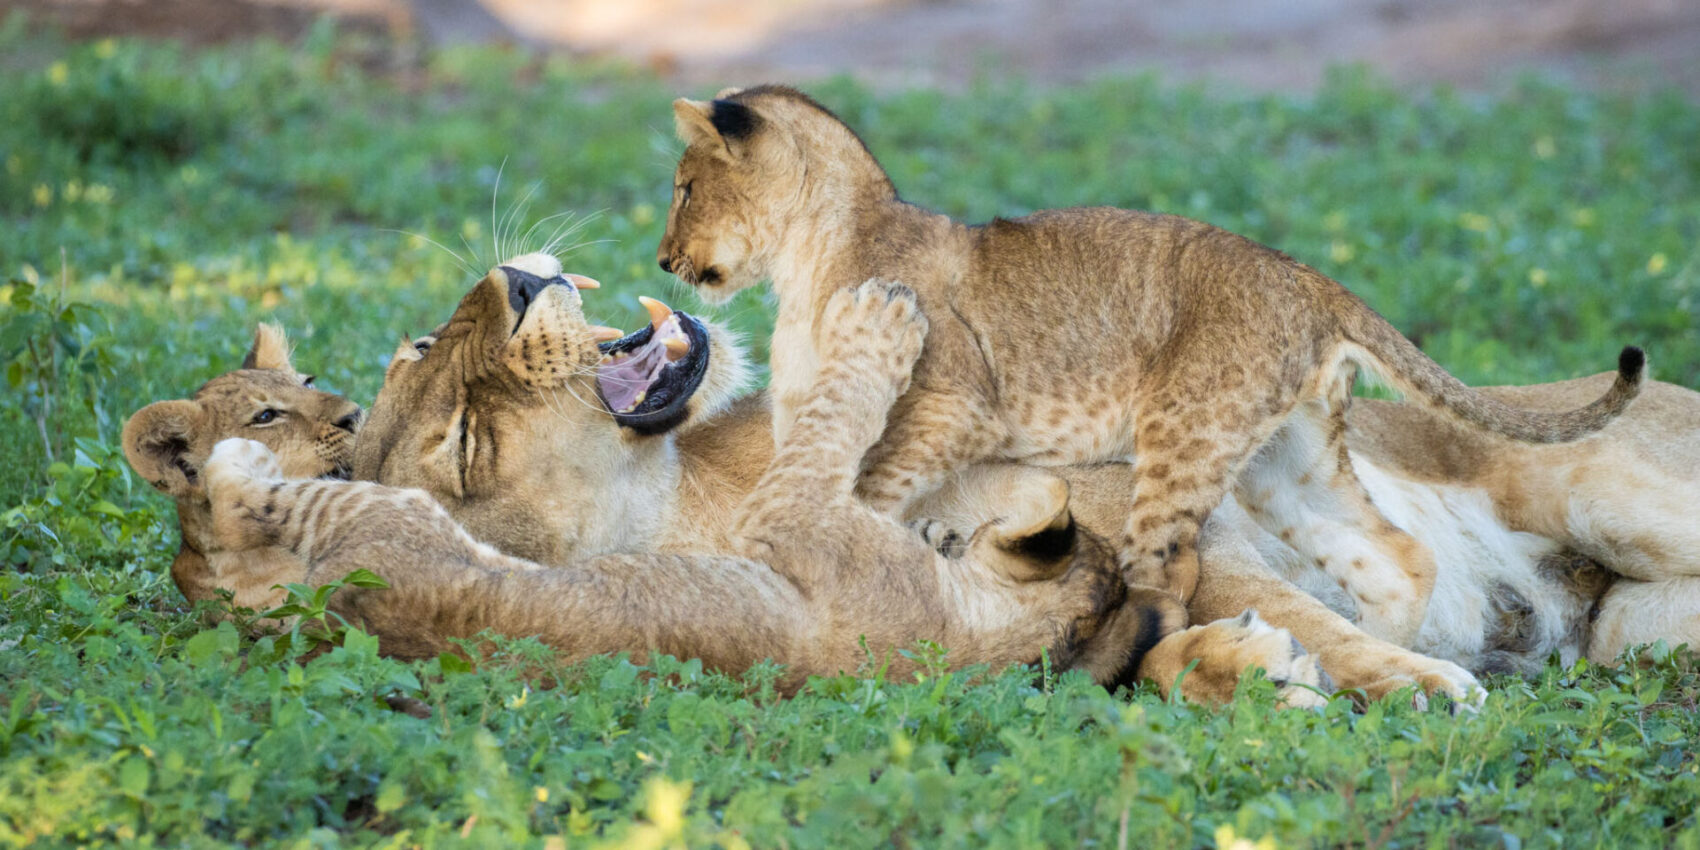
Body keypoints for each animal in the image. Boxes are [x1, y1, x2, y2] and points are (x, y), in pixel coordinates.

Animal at [656, 84, 1645, 651]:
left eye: (683, 186)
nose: (664, 259)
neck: (808, 258)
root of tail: (1306, 275)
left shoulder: (956, 407)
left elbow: (869, 494)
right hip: (1285, 463)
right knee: (1395, 556)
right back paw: (1402, 667)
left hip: (1185, 432)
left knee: (1167, 574)